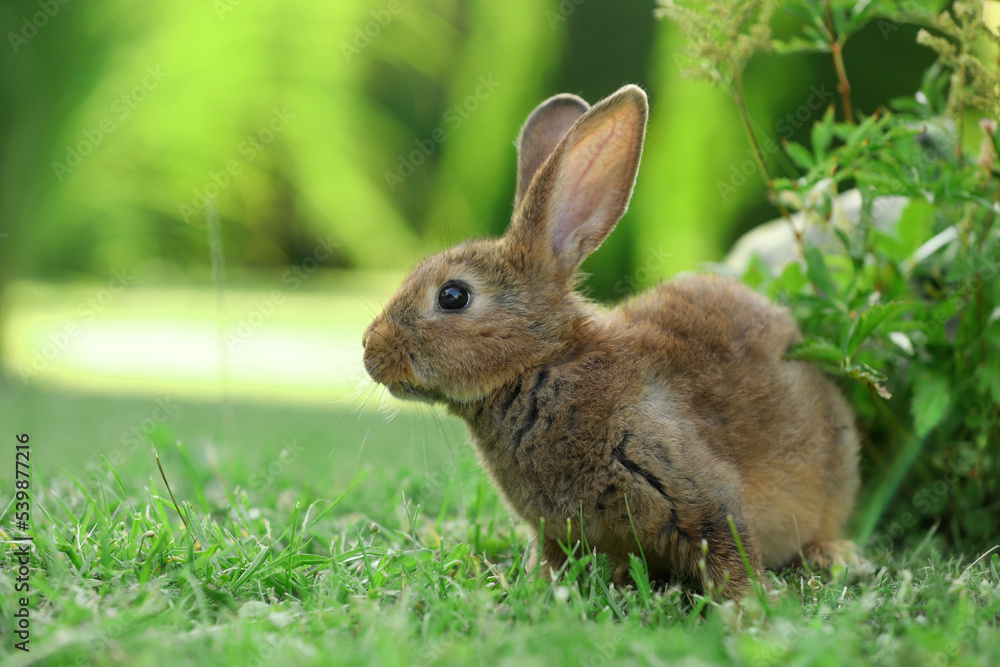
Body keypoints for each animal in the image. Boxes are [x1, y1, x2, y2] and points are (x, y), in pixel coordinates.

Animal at [362, 84, 861, 599]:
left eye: (453, 296)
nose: (369, 353)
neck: (541, 367)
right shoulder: (555, 530)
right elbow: (553, 561)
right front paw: (537, 590)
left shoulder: (689, 484)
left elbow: (726, 543)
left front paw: (749, 605)